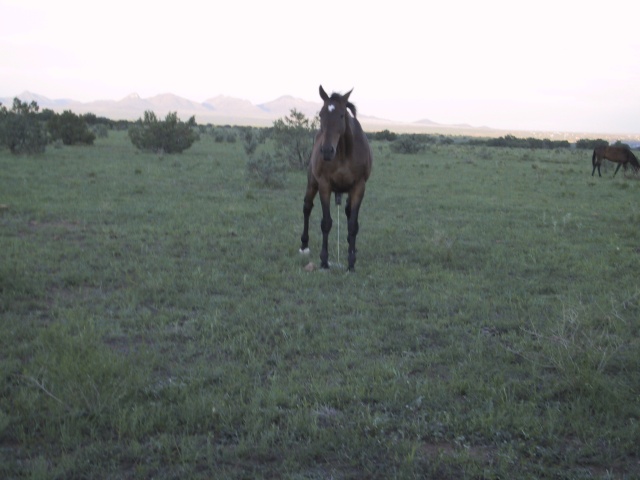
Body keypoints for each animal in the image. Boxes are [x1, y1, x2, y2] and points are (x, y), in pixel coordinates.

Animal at [299, 85, 373, 271]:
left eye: (341, 115)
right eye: (321, 114)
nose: (326, 150)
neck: (343, 152)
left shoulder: (359, 187)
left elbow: (353, 224)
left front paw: (351, 262)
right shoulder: (324, 185)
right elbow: (326, 223)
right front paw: (324, 261)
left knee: (347, 212)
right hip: (312, 183)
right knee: (307, 207)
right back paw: (304, 245)